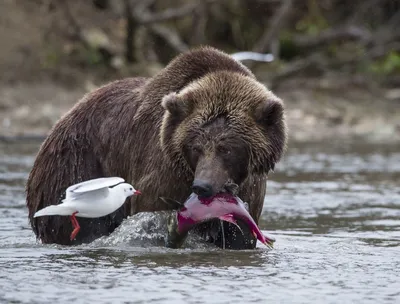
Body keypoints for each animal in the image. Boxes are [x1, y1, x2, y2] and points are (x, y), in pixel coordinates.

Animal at [25, 45, 288, 249]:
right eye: (195, 147)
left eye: (227, 148)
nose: (202, 186)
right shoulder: (163, 168)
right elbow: (151, 209)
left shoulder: (250, 187)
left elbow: (240, 232)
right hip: (76, 163)